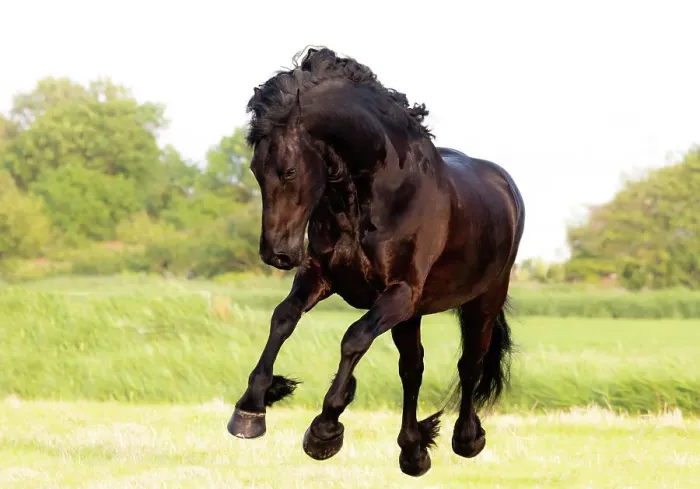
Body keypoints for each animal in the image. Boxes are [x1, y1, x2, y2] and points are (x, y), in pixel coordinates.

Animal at [227, 47, 525, 477]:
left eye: (289, 170)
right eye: (254, 169)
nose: (277, 254)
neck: (372, 195)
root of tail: (505, 186)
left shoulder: (398, 292)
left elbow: (353, 338)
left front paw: (325, 429)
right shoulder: (320, 276)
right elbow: (283, 318)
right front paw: (251, 408)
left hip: (481, 300)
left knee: (470, 363)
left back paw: (467, 438)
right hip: (412, 316)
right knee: (413, 369)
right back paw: (413, 452)